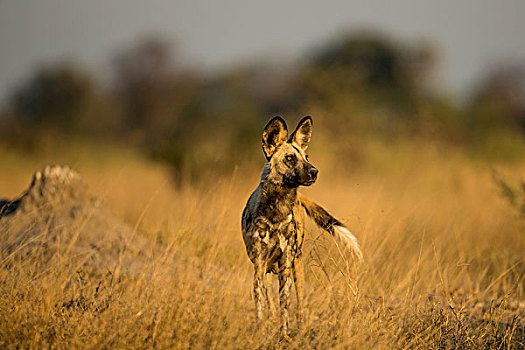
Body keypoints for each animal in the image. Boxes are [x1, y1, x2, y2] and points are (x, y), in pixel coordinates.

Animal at [241, 116, 360, 334]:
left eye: (306, 156)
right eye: (290, 158)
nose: (315, 171)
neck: (276, 211)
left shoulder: (286, 263)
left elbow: (285, 305)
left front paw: (284, 334)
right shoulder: (259, 264)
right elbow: (261, 303)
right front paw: (262, 330)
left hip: (297, 266)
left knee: (299, 303)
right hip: (269, 269)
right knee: (269, 298)